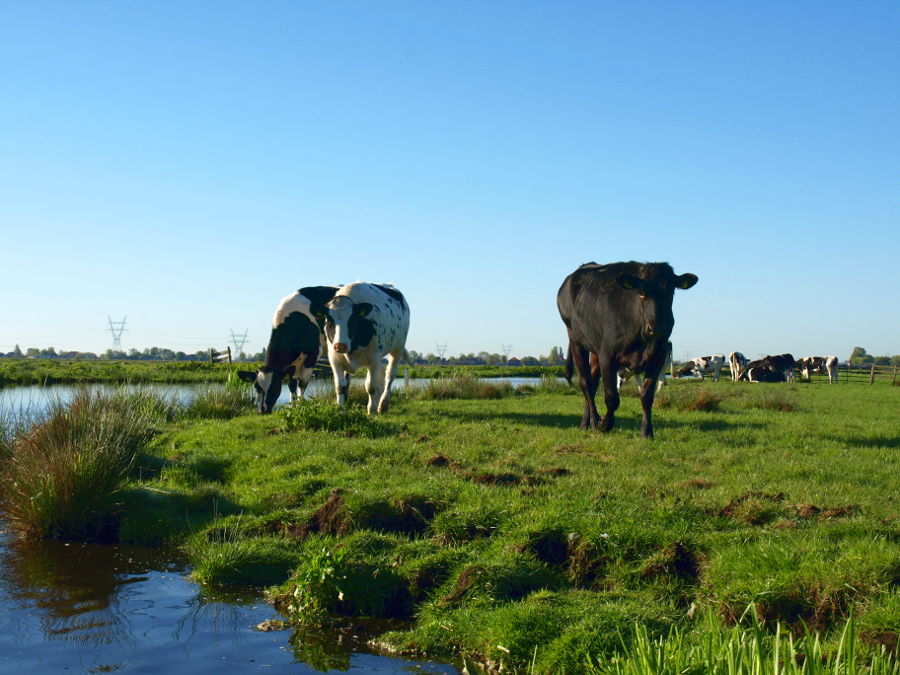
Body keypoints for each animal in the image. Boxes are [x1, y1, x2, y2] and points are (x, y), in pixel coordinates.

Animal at [237, 284, 340, 412]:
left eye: (274, 386)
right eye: (256, 387)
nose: (262, 410)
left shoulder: (313, 354)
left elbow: (302, 383)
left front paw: (301, 406)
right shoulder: (292, 364)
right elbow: (291, 384)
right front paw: (292, 407)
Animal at [318, 282, 410, 418]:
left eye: (352, 319)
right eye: (329, 320)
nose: (340, 345)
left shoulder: (373, 359)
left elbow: (371, 386)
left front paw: (371, 410)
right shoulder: (335, 359)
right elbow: (340, 387)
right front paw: (340, 409)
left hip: (398, 347)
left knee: (390, 375)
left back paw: (383, 404)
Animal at [560, 258, 700, 438]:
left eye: (671, 292)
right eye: (641, 292)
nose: (657, 328)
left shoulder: (659, 356)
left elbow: (647, 396)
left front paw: (647, 432)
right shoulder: (607, 355)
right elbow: (612, 397)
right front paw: (605, 424)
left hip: (594, 350)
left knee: (593, 381)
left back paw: (586, 422)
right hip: (575, 339)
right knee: (586, 383)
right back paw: (593, 421)